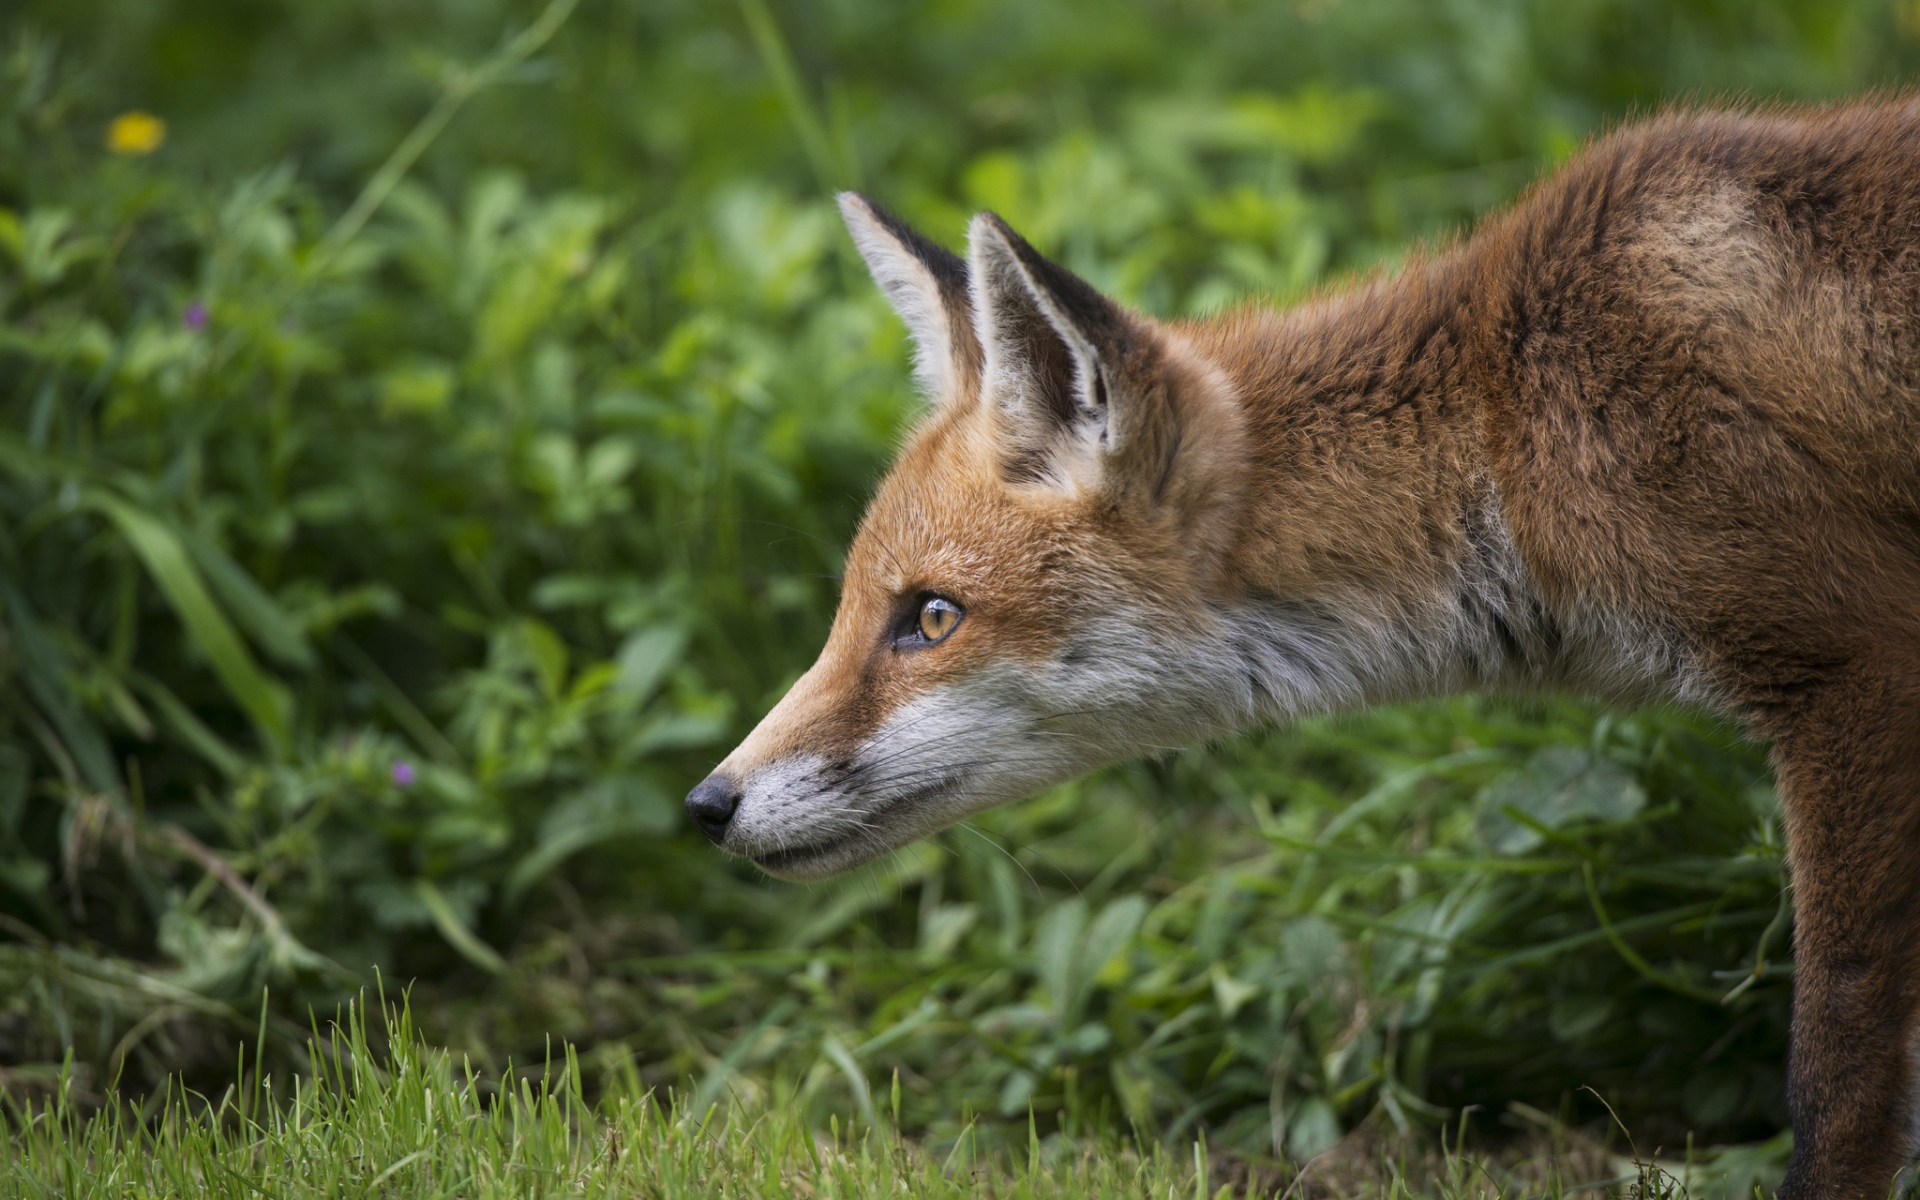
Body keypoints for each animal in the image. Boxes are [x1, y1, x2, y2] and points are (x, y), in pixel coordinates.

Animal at [687, 105, 1920, 1198]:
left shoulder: (1856, 661)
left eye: (931, 619)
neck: (1508, 419)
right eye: (855, 609)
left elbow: (1836, 1069)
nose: (707, 804)